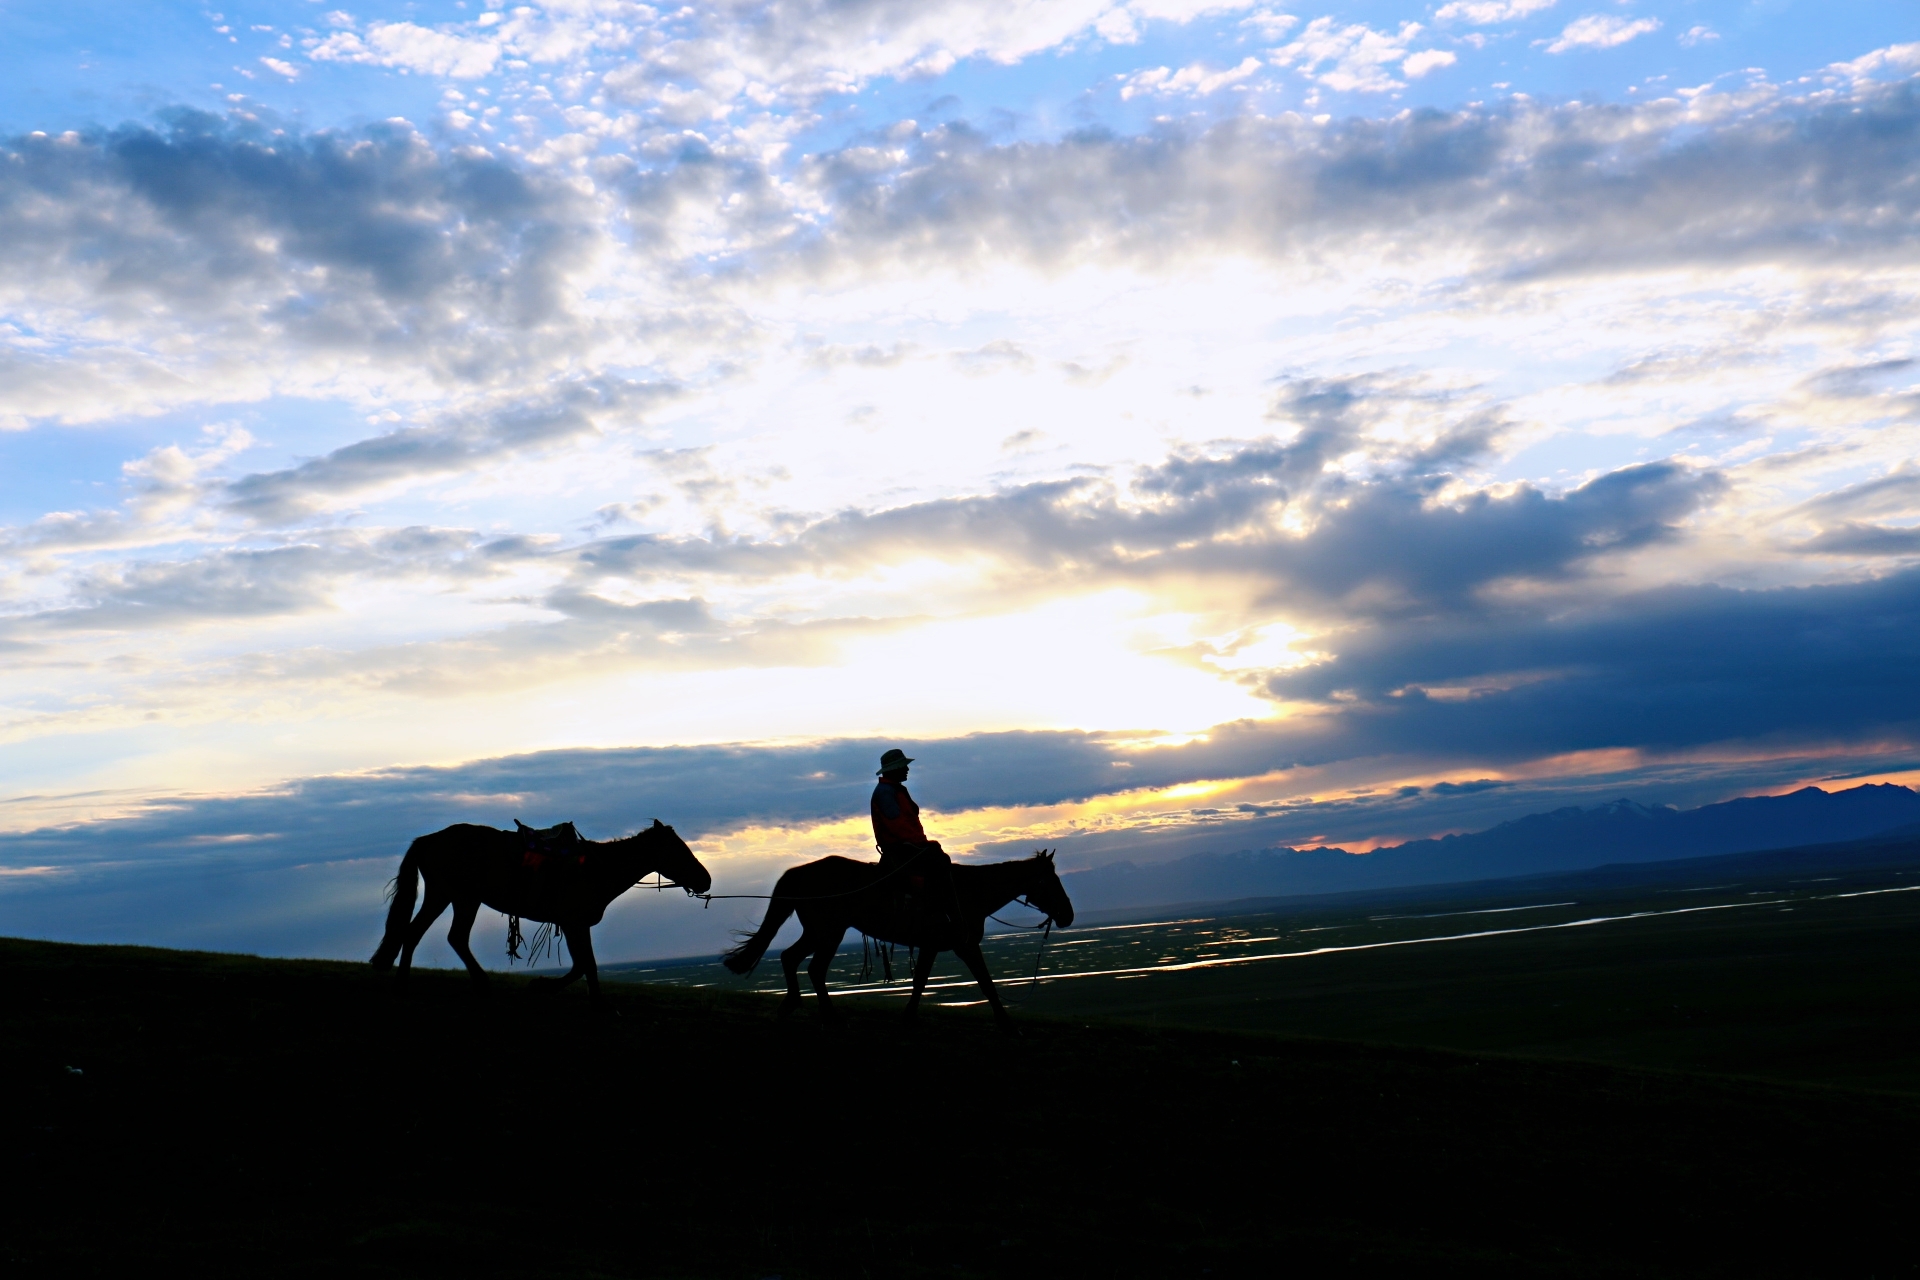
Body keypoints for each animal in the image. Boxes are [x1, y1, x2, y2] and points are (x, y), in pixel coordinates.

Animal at [368, 821, 714, 997]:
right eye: (678, 850)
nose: (706, 879)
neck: (597, 868)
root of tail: (428, 840)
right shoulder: (574, 924)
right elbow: (585, 966)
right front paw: (551, 987)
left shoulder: (575, 925)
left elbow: (584, 966)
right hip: (453, 896)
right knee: (433, 935)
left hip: (454, 897)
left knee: (436, 936)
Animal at [721, 852, 1075, 1028]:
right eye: (1051, 880)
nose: (1068, 915)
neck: (968, 892)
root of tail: (799, 872)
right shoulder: (965, 945)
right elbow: (986, 983)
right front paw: (1005, 1021)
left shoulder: (932, 947)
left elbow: (920, 983)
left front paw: (907, 1017)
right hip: (829, 932)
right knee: (812, 968)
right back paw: (828, 1015)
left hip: (820, 932)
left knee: (792, 959)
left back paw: (794, 1006)